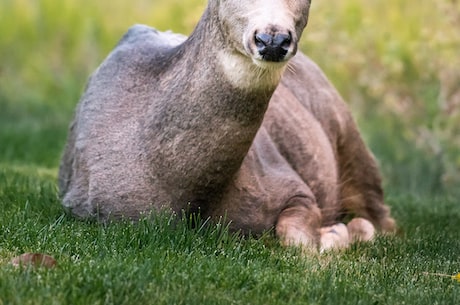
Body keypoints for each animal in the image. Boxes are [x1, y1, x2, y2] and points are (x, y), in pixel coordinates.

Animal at [57, 0, 396, 251]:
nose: (273, 40)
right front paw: (336, 234)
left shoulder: (293, 186)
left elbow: (295, 237)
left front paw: (335, 235)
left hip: (347, 129)